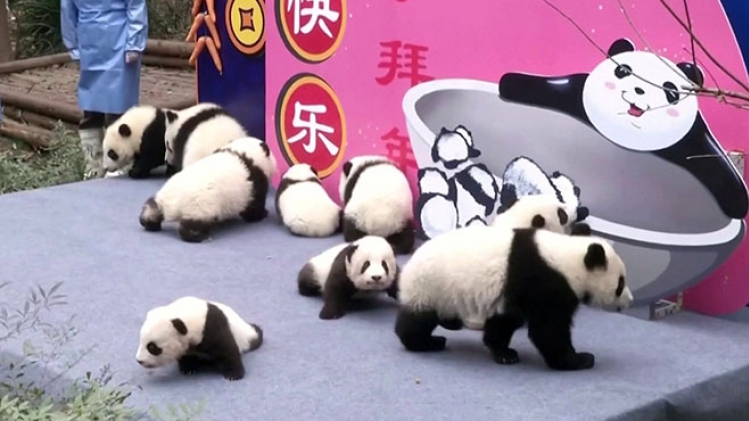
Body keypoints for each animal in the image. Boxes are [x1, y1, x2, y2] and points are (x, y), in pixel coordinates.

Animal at [139, 136, 277, 243]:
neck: (243, 153)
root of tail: (172, 204)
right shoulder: (254, 181)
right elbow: (254, 204)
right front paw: (262, 214)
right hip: (200, 205)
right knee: (194, 223)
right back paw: (200, 236)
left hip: (163, 195)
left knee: (152, 208)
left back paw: (149, 223)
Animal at [394, 224, 633, 371]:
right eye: (620, 283)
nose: (629, 301)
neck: (565, 260)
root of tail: (408, 266)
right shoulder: (543, 282)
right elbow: (547, 330)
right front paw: (580, 359)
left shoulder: (511, 293)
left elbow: (505, 321)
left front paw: (503, 352)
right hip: (429, 287)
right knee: (417, 320)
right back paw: (427, 342)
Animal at [498, 37, 748, 219]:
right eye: (624, 71)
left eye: (670, 90)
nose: (640, 90)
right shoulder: (576, 94)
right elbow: (554, 86)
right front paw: (511, 82)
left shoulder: (691, 138)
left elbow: (713, 161)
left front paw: (738, 202)